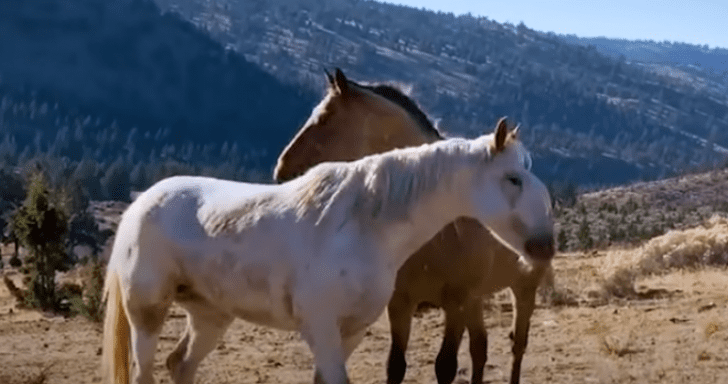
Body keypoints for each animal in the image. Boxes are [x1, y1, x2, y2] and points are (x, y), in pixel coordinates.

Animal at [98, 118, 552, 382]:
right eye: (513, 179)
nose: (543, 245)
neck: (364, 226)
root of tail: (141, 202)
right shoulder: (321, 327)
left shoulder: (351, 330)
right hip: (147, 313)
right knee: (144, 372)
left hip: (210, 316)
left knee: (181, 365)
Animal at [272, 69, 552, 384]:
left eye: (325, 117)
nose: (282, 170)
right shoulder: (402, 303)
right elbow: (395, 365)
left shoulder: (456, 302)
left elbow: (445, 366)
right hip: (477, 300)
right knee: (480, 347)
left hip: (523, 289)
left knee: (518, 345)